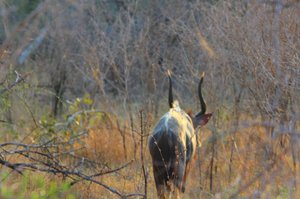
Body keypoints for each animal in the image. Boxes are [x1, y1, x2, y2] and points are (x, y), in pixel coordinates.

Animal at [149, 70, 212, 198]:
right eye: (197, 127)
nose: (199, 143)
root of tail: (165, 133)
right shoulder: (188, 165)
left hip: (158, 172)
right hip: (178, 170)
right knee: (176, 191)